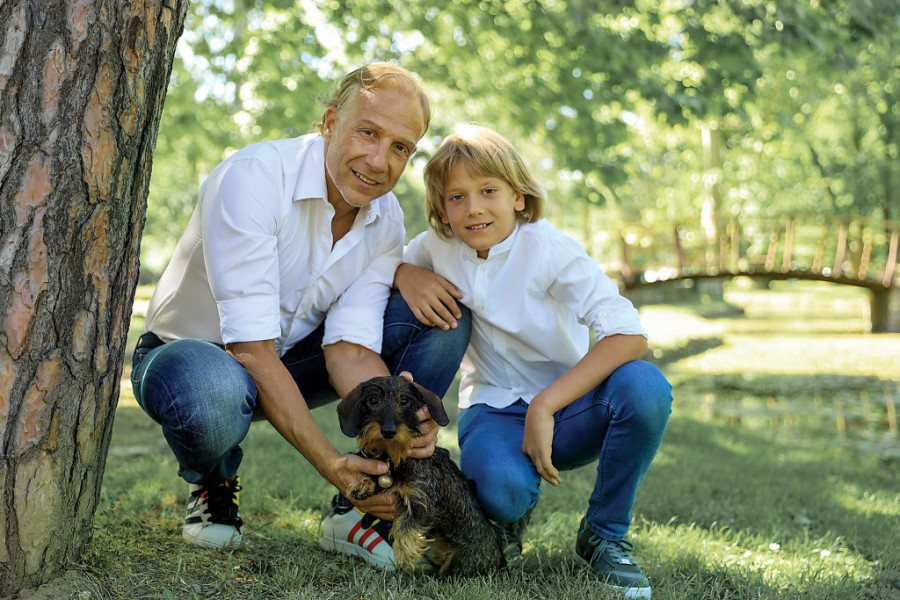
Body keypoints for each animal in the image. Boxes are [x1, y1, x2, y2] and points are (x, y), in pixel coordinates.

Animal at [337, 375, 506, 576]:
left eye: (404, 401)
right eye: (372, 400)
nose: (388, 431)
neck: (395, 457)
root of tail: (500, 561)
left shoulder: (424, 502)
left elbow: (405, 527)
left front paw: (403, 558)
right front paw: (363, 483)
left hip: (458, 563)